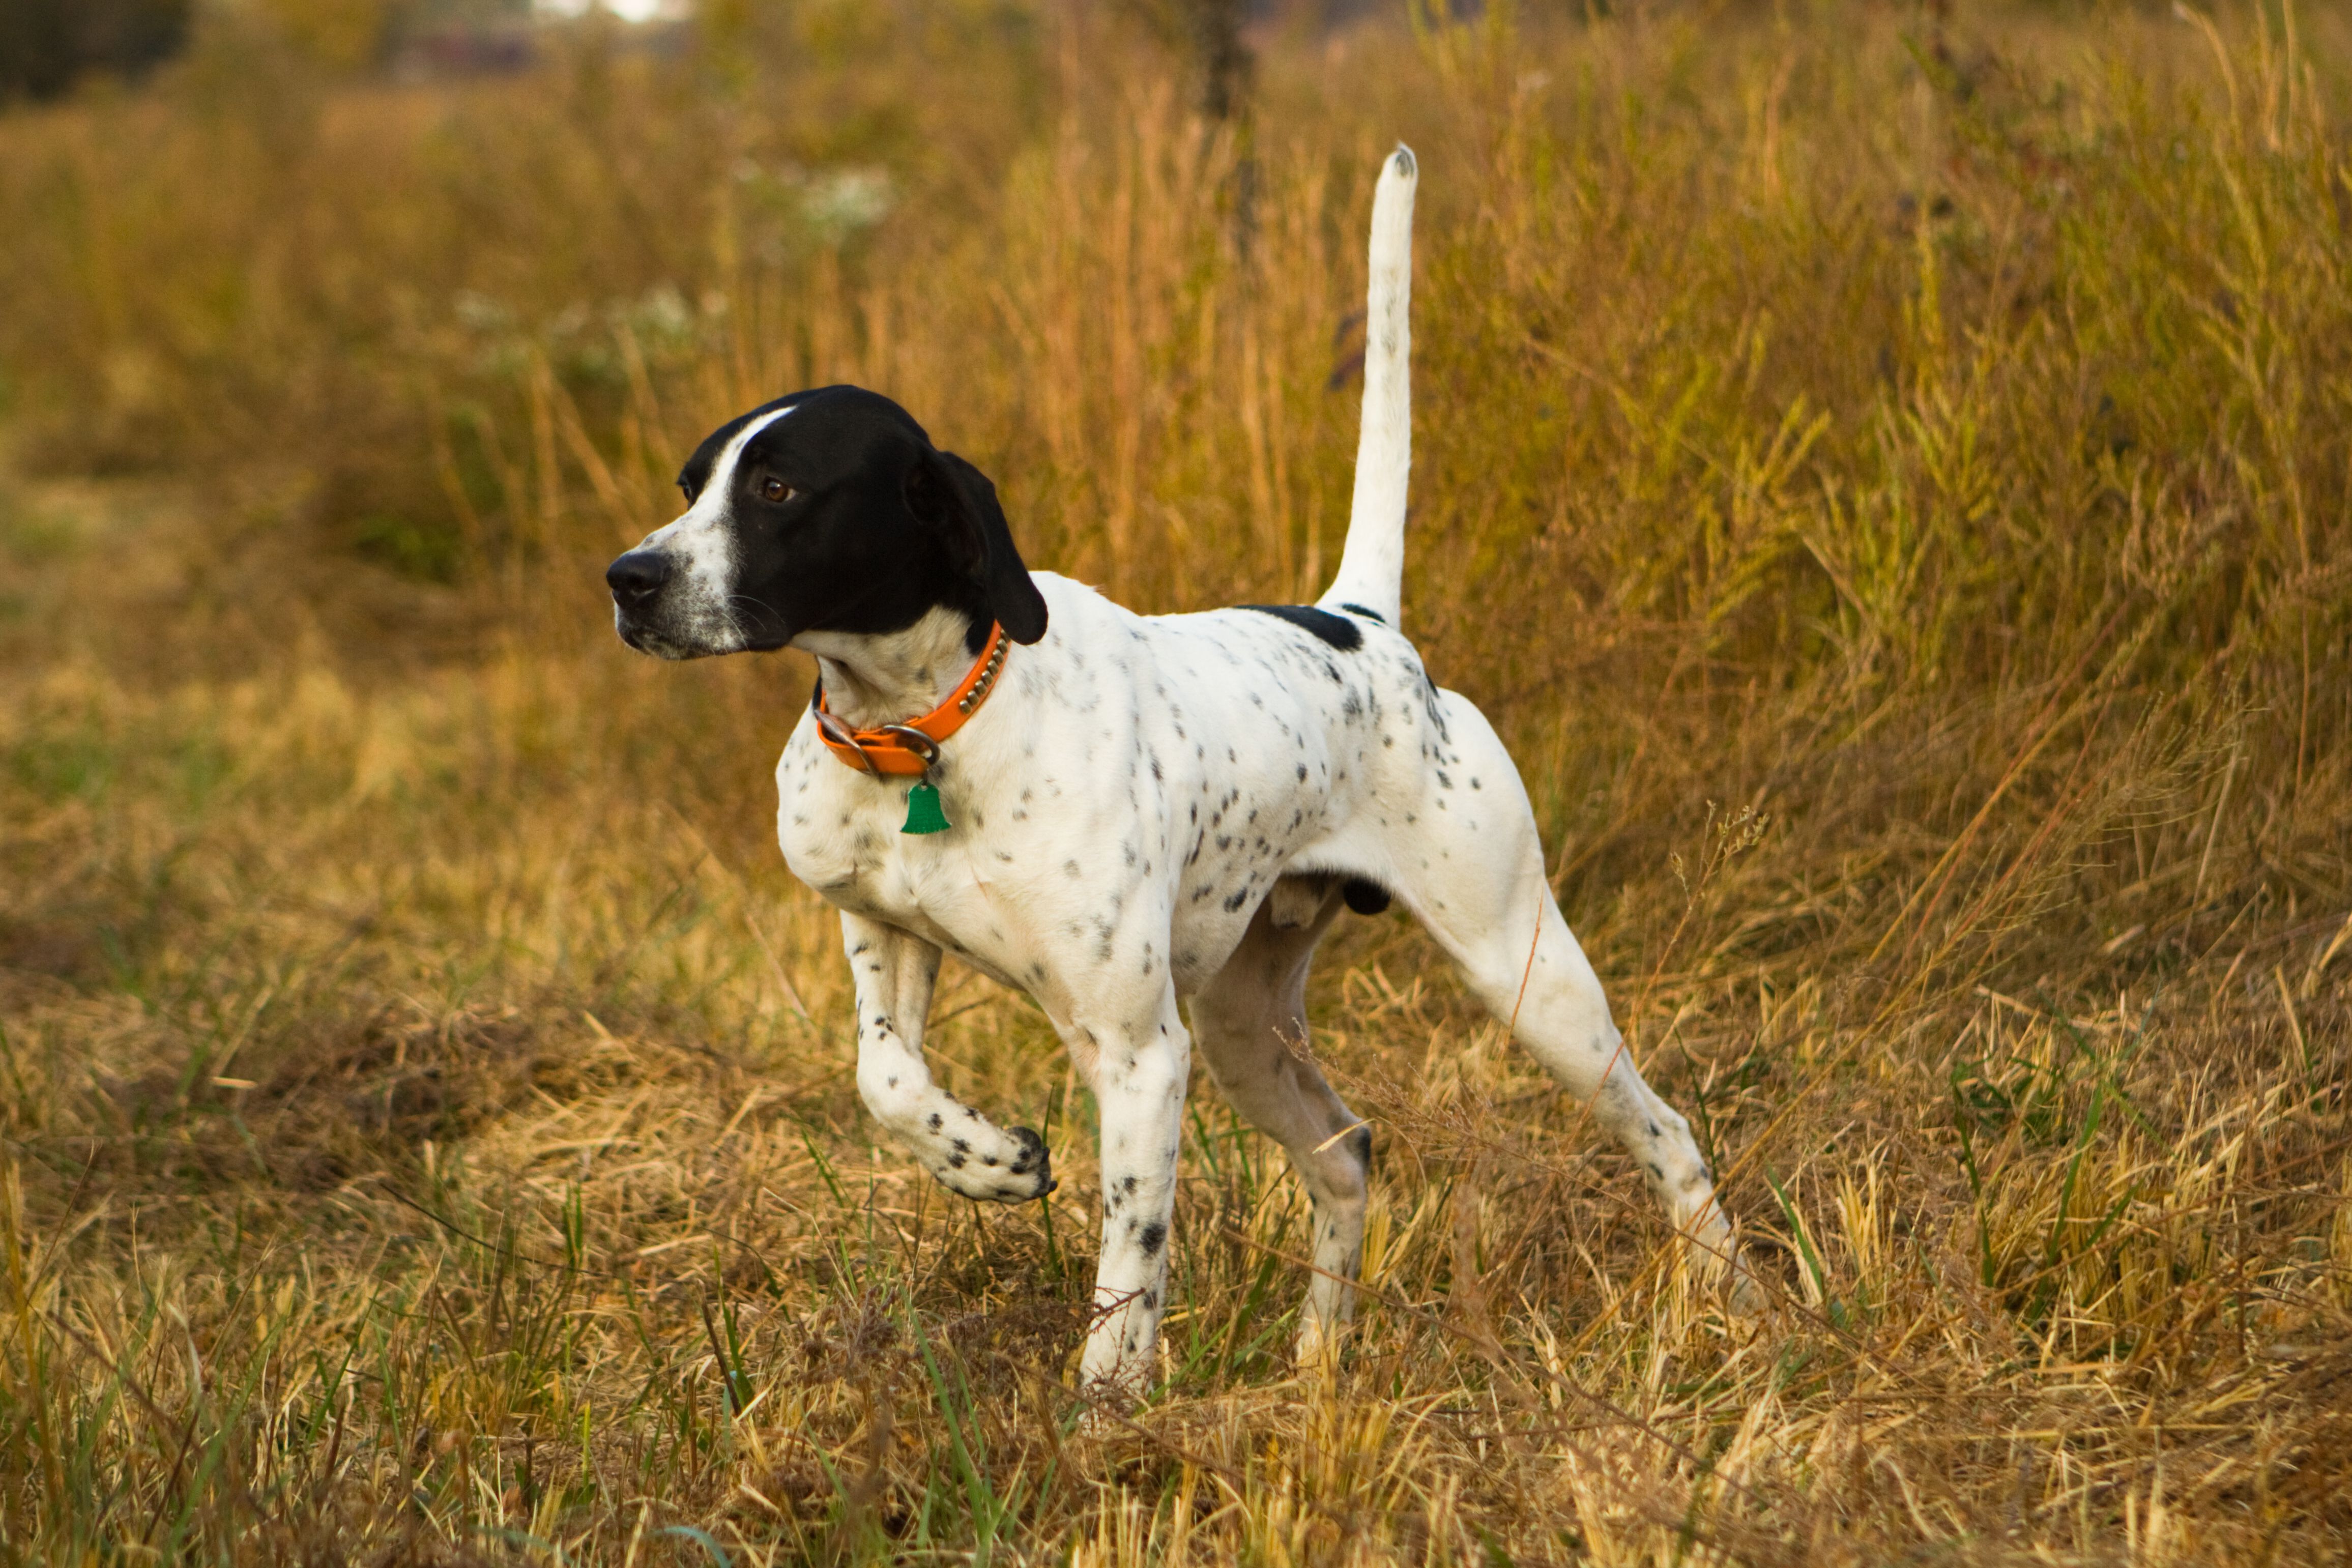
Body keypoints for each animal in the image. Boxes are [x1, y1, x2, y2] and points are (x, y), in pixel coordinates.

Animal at [606, 150, 1750, 1401]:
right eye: (691, 483)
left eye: (776, 490)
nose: (629, 578)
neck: (928, 730)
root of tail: (1363, 624)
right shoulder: (886, 933)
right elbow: (886, 1078)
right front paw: (989, 1161)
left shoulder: (1142, 1052)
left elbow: (1131, 1255)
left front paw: (1106, 1408)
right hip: (1248, 1023)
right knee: (1345, 1153)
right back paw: (1317, 1360)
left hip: (1526, 978)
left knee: (1668, 1134)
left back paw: (1725, 1308)